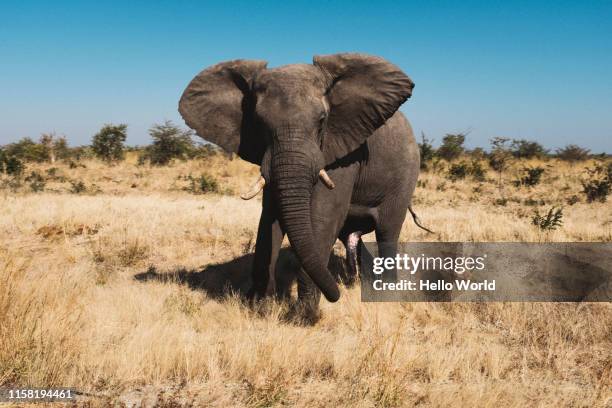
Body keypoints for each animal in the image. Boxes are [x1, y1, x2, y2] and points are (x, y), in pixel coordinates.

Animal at [178, 51, 430, 318]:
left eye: (322, 120)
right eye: (258, 122)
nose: (336, 297)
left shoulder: (344, 149)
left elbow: (323, 215)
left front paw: (302, 316)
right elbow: (269, 218)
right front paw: (260, 308)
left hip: (405, 175)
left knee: (387, 230)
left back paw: (384, 294)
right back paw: (356, 282)